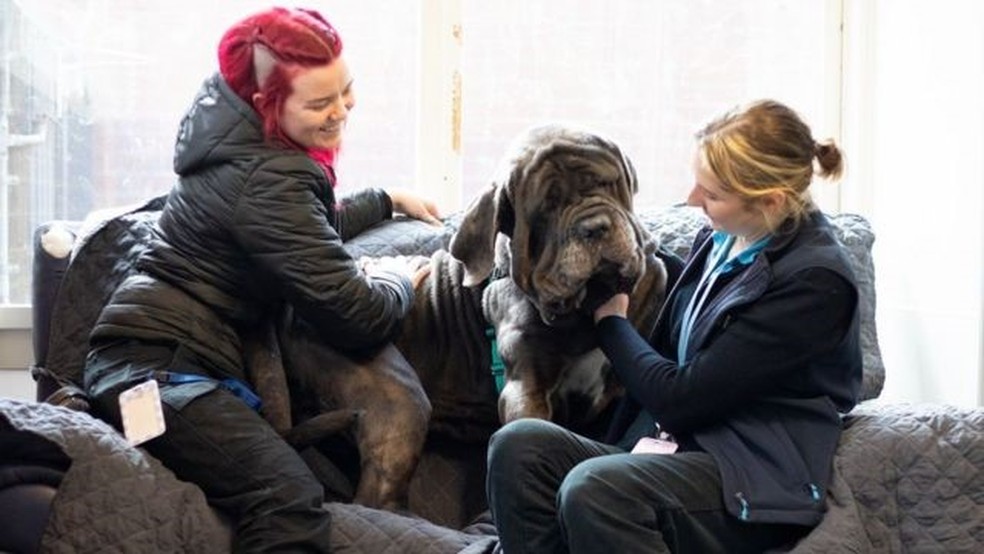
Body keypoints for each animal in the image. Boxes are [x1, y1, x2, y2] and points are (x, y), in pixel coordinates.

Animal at [252, 123, 668, 512]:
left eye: (608, 184)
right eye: (547, 208)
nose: (593, 227)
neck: (586, 309)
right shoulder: (525, 388)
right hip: (398, 396)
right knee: (375, 498)